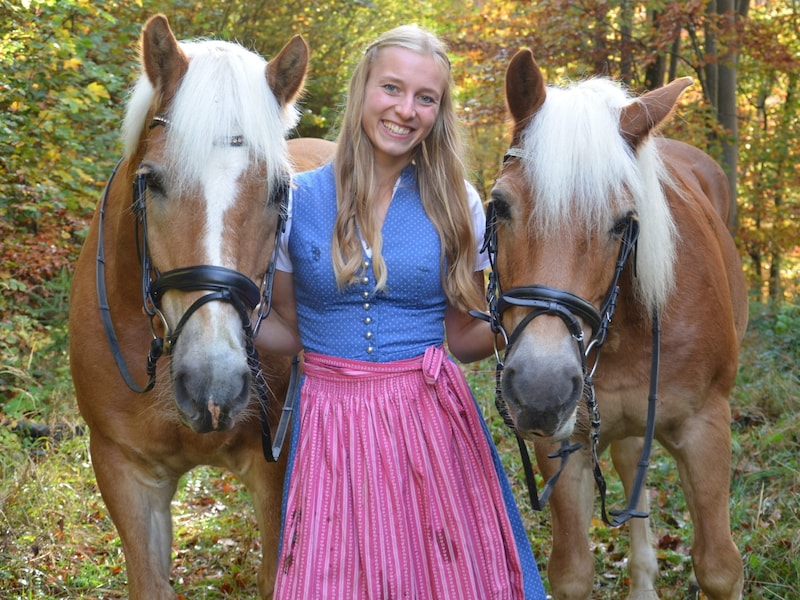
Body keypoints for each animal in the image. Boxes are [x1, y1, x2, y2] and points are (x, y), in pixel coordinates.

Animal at [488, 49, 752, 596]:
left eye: (624, 222)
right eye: (499, 206)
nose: (541, 390)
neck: (626, 330)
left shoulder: (706, 428)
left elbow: (719, 566)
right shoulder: (563, 444)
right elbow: (572, 571)